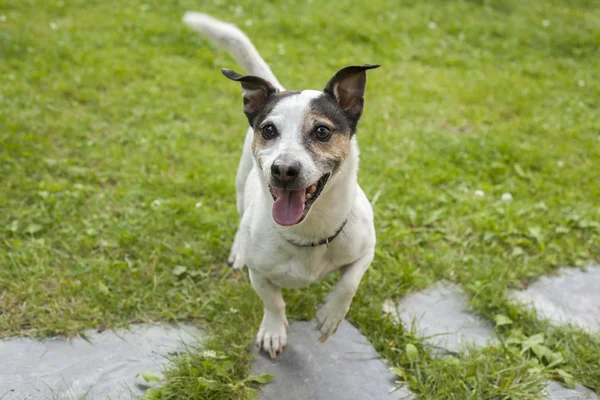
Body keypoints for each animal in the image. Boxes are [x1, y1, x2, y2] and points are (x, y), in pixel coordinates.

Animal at [184, 11, 380, 360]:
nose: (284, 170)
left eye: (322, 131)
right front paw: (273, 331)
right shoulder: (260, 274)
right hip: (240, 187)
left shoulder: (366, 249)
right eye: (269, 130)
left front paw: (330, 316)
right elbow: (273, 301)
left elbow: (349, 283)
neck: (309, 233)